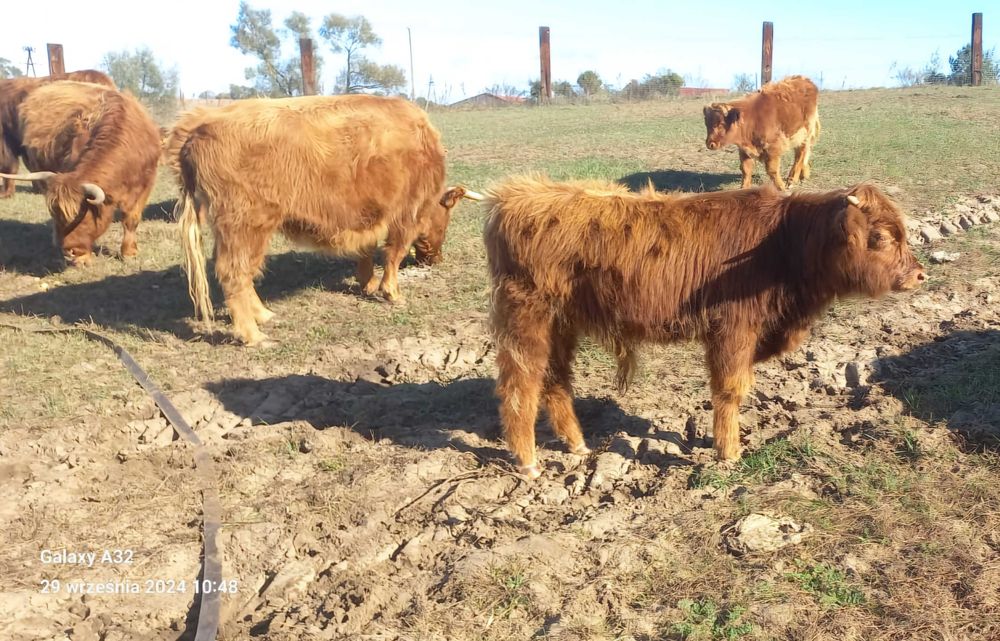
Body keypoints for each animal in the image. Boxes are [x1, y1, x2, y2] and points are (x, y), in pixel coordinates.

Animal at [0, 81, 160, 264]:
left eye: (82, 216)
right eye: (57, 214)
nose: (70, 252)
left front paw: (129, 253)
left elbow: (131, 218)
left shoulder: (145, 184)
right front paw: (84, 257)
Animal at [164, 94, 480, 346]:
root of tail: (197, 129)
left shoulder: (367, 214)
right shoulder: (405, 214)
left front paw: (367, 283)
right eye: (445, 220)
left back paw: (263, 315)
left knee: (242, 273)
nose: (435, 259)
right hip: (246, 224)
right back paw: (252, 335)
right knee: (234, 273)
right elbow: (393, 254)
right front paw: (391, 292)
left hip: (236, 229)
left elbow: (367, 249)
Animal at [483, 175, 925, 478]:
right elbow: (730, 390)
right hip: (526, 318)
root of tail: (513, 196)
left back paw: (577, 447)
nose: (919, 275)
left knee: (555, 381)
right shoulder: (732, 329)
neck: (781, 244)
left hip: (560, 324)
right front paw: (729, 453)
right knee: (519, 386)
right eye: (881, 237)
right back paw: (529, 463)